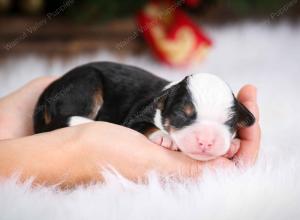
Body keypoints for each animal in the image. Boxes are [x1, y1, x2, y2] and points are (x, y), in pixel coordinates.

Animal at [34, 61, 255, 161]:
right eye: (182, 115)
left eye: (229, 123)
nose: (207, 142)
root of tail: (48, 93)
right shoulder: (136, 115)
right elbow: (145, 126)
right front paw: (164, 137)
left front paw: (232, 145)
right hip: (86, 83)